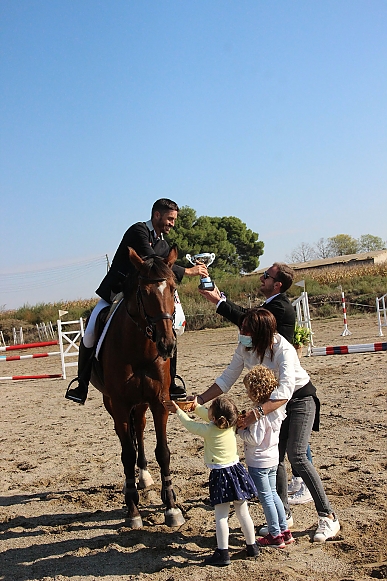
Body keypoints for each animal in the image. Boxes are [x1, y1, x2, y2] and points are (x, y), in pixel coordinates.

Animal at [92, 246, 186, 532]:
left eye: (173, 289)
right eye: (143, 292)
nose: (167, 344)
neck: (139, 349)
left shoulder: (159, 402)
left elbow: (162, 452)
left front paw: (171, 507)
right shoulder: (121, 405)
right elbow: (126, 454)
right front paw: (133, 510)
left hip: (142, 404)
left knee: (141, 430)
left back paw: (143, 477)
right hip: (112, 404)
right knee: (126, 439)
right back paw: (130, 485)